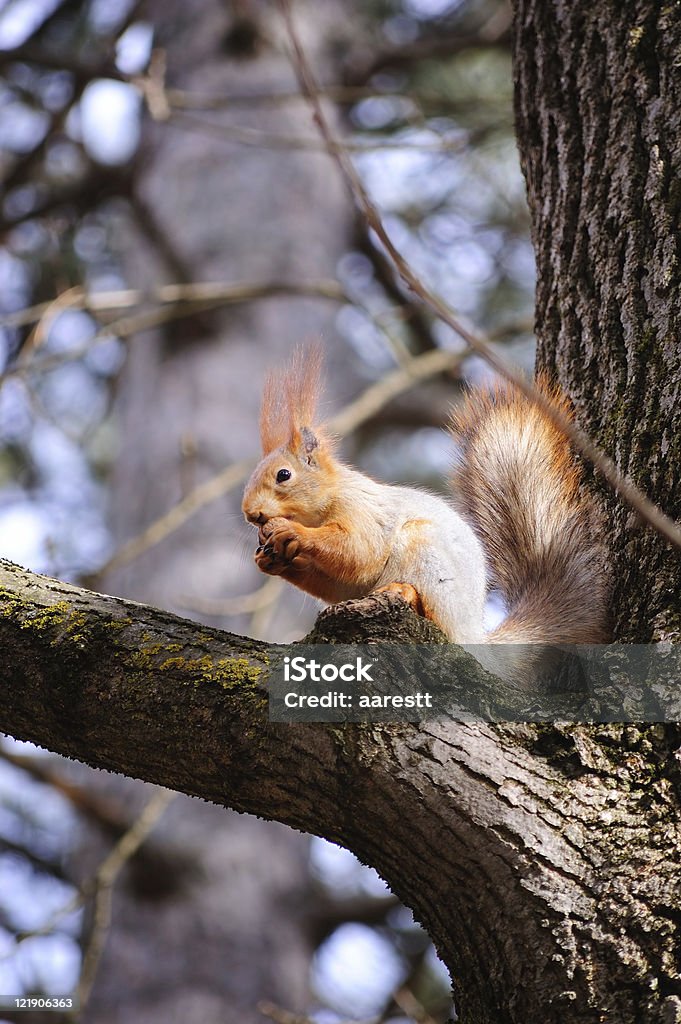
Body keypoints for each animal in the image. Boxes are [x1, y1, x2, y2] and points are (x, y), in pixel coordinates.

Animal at [241, 342, 606, 663]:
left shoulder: (362, 511)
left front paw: (291, 532)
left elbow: (359, 553)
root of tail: (473, 636)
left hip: (425, 550)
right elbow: (343, 581)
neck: (327, 500)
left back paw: (408, 593)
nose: (250, 514)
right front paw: (271, 559)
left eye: (284, 475)